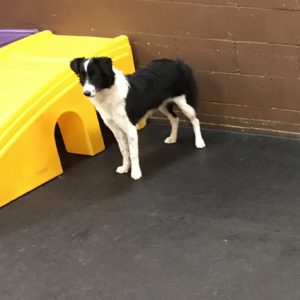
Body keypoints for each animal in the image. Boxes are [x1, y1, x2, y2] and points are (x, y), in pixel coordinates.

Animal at [70, 57, 206, 179]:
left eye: (96, 75)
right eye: (82, 76)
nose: (86, 93)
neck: (108, 93)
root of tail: (179, 62)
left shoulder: (130, 129)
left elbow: (133, 153)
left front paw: (135, 173)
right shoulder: (117, 130)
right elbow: (124, 151)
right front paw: (125, 167)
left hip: (184, 103)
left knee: (195, 120)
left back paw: (199, 142)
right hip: (162, 105)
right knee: (175, 119)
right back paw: (172, 138)